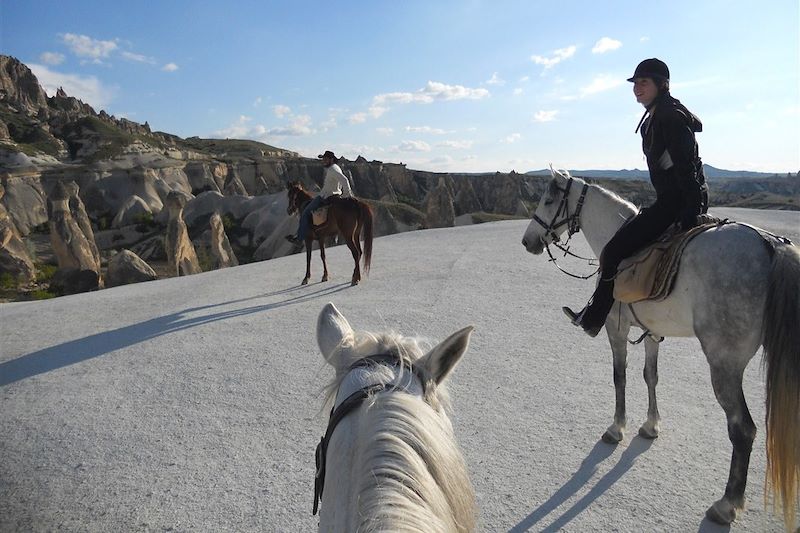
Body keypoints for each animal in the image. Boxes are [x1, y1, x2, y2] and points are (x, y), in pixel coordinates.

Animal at [520, 169, 800, 528]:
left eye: (548, 199)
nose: (527, 241)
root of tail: (772, 246)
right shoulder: (652, 333)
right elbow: (650, 376)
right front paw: (651, 426)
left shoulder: (616, 329)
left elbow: (620, 377)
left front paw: (617, 427)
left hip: (724, 364)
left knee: (743, 430)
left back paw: (726, 504)